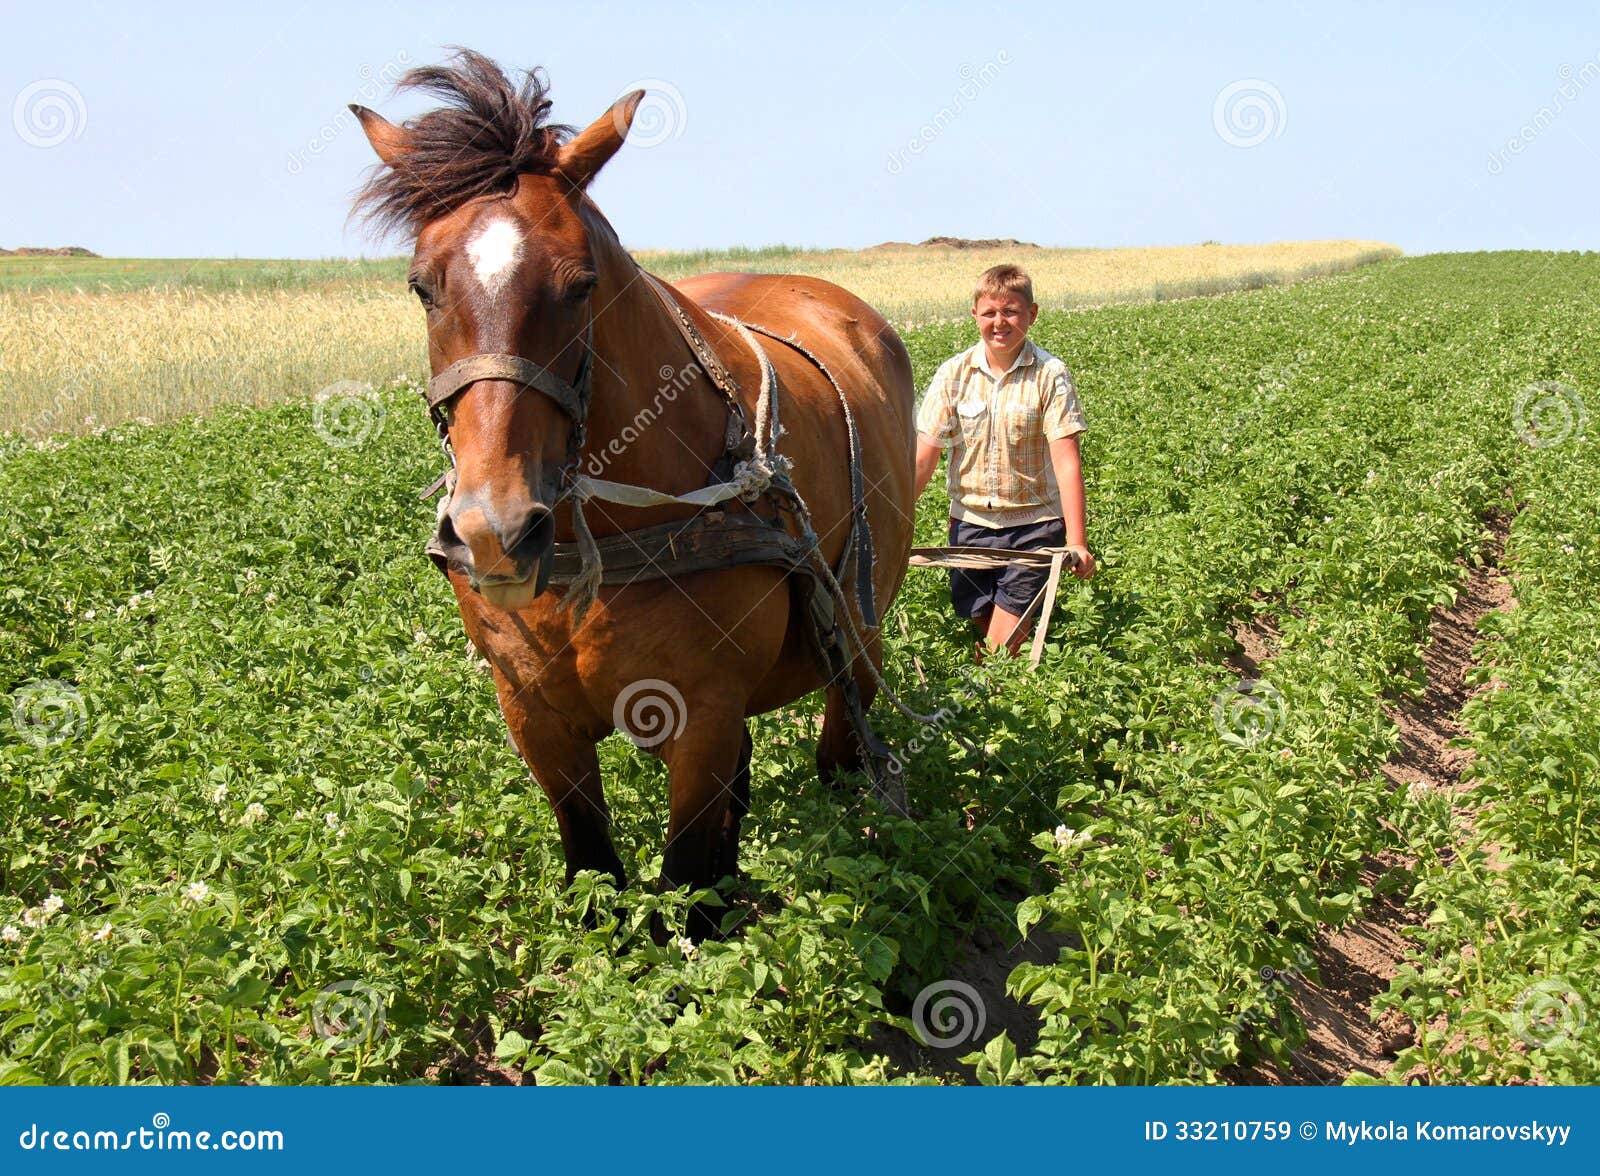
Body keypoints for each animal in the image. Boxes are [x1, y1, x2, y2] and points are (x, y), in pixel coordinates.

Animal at [356, 50, 921, 940]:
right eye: (422, 285)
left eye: (581, 284)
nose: (492, 533)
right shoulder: (533, 714)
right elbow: (594, 869)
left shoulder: (704, 715)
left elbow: (684, 885)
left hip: (859, 631)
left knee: (843, 747)